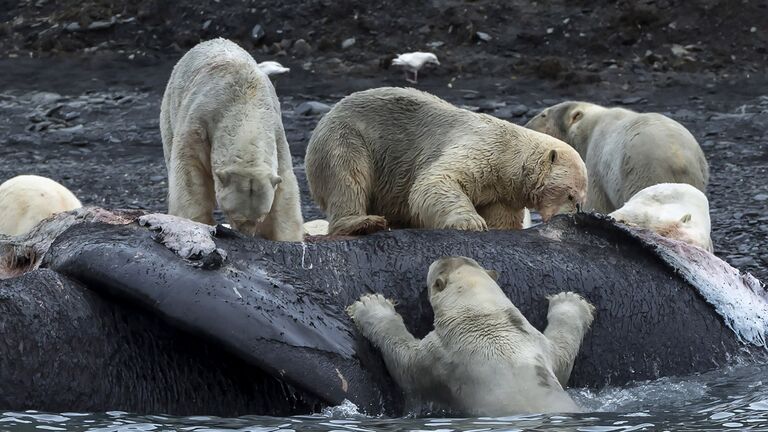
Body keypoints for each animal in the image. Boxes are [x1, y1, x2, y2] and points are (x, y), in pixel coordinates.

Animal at [160, 37, 304, 241]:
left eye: (260, 217)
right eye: (235, 215)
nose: (245, 235)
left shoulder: (277, 133)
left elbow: (286, 188)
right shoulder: (199, 123)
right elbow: (189, 172)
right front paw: (195, 223)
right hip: (171, 106)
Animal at [306, 87, 588, 236]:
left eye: (580, 200)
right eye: (571, 195)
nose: (572, 216)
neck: (509, 155)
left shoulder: (502, 191)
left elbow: (502, 217)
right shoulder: (482, 150)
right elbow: (436, 182)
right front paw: (471, 222)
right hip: (347, 136)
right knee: (348, 175)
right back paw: (362, 222)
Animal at [346, 256, 592, 416]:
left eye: (435, 270)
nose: (441, 255)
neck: (484, 315)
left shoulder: (442, 354)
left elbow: (406, 364)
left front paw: (372, 304)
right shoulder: (534, 342)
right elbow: (562, 356)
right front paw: (570, 299)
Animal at [524, 101, 712, 216]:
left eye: (543, 114)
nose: (526, 126)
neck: (591, 126)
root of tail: (679, 159)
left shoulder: (597, 161)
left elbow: (597, 202)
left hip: (642, 173)